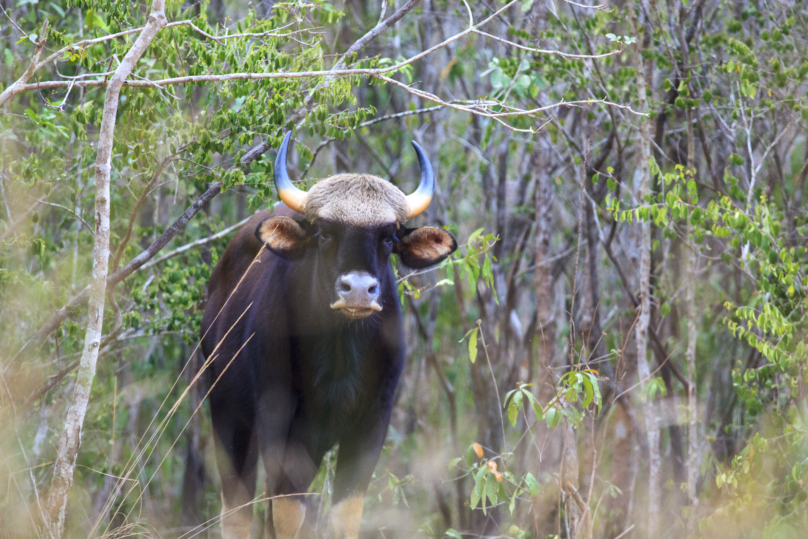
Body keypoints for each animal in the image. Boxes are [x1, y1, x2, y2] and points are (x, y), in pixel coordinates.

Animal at [200, 132, 458, 539]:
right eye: (324, 232)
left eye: (389, 238)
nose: (358, 290)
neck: (339, 360)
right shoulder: (279, 422)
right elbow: (286, 513)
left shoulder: (371, 423)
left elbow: (344, 512)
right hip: (226, 409)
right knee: (237, 509)